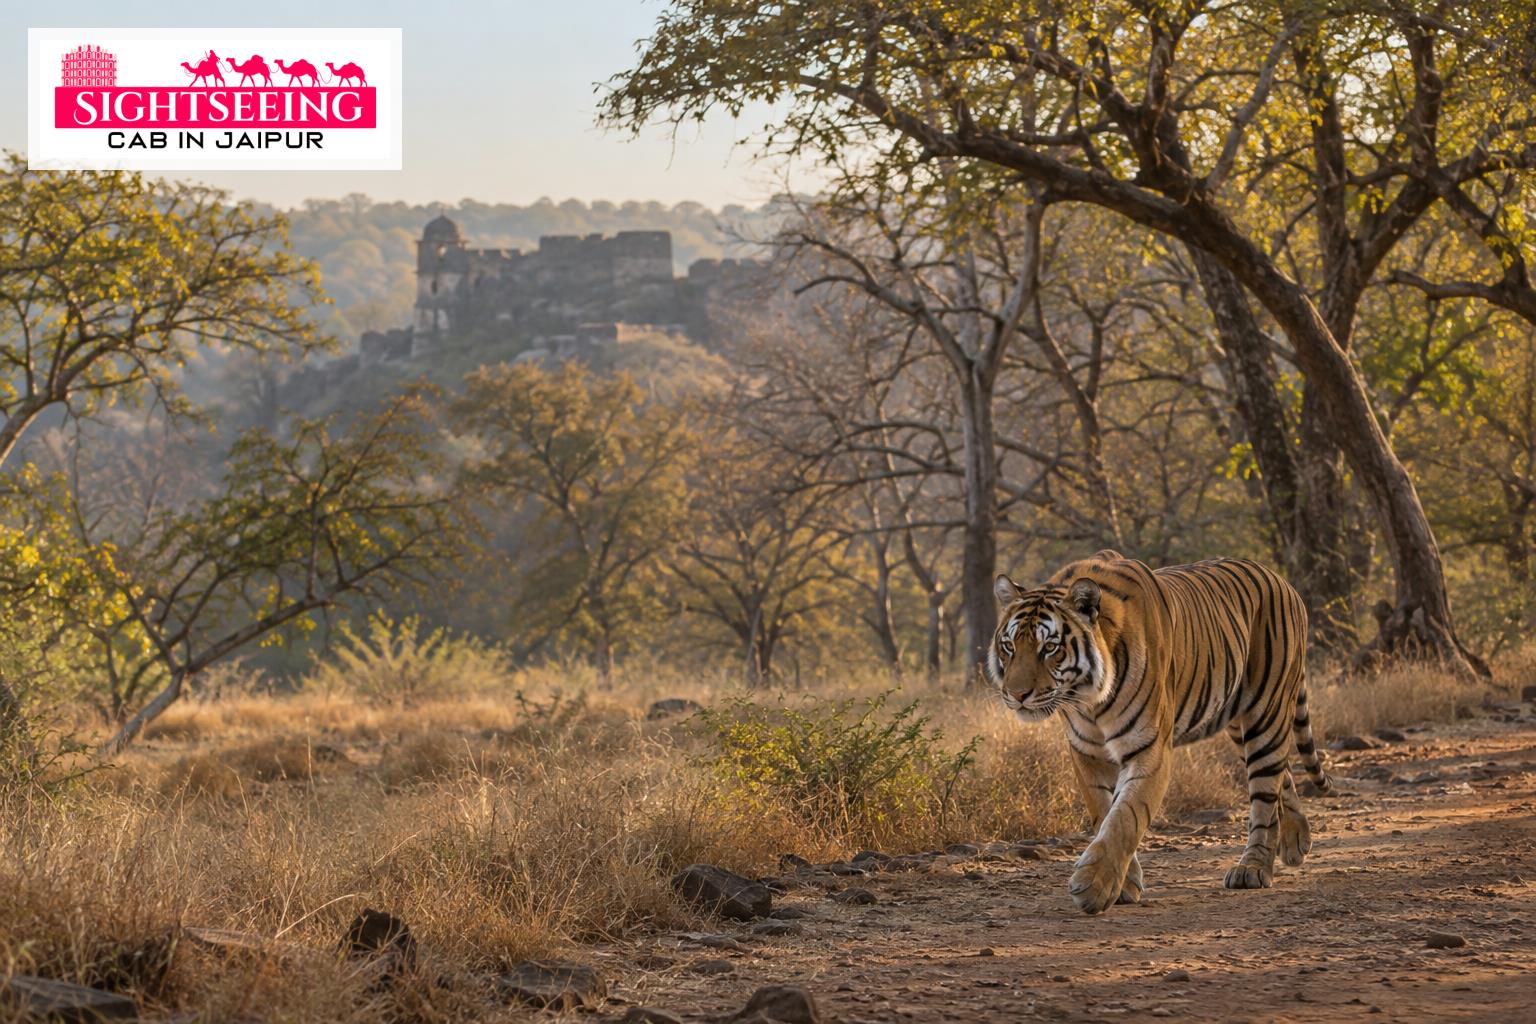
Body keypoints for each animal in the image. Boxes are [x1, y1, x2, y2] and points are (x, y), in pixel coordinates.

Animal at [987, 550, 1332, 915]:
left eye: (1050, 648)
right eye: (1009, 646)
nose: (1016, 694)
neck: (1088, 701)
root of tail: (1284, 582)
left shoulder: (1149, 749)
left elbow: (1125, 817)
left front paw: (1094, 885)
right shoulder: (1087, 753)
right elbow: (1104, 812)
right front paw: (1124, 884)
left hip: (1265, 713)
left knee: (1266, 791)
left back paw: (1252, 869)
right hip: (1239, 724)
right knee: (1282, 774)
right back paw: (1297, 840)